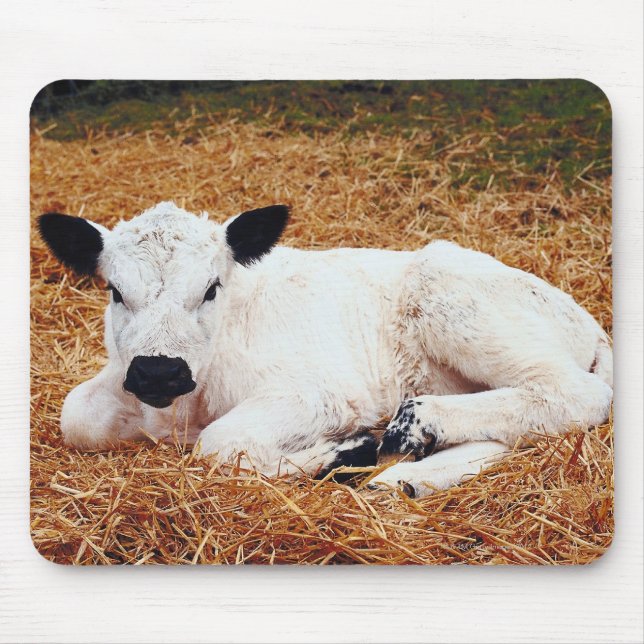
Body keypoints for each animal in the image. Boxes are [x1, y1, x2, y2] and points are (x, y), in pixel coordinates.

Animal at [37, 201, 613, 498]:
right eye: (115, 291)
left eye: (210, 288)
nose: (159, 373)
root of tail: (589, 322)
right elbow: (75, 415)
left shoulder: (321, 396)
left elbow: (220, 443)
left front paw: (344, 451)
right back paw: (410, 474)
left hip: (451, 297)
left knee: (574, 393)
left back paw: (412, 428)